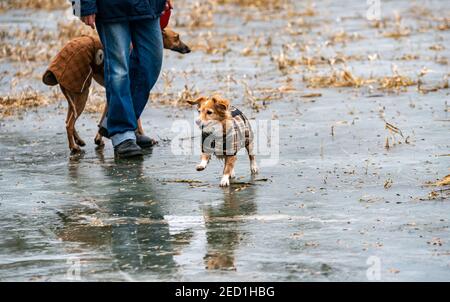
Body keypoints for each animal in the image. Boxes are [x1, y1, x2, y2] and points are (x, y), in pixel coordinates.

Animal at [42, 28, 190, 153]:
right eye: (177, 37)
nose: (189, 49)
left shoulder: (113, 95)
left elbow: (104, 118)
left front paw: (100, 138)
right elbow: (135, 119)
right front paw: (140, 136)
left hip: (75, 96)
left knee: (69, 122)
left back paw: (79, 141)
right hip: (82, 96)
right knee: (69, 124)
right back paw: (74, 147)